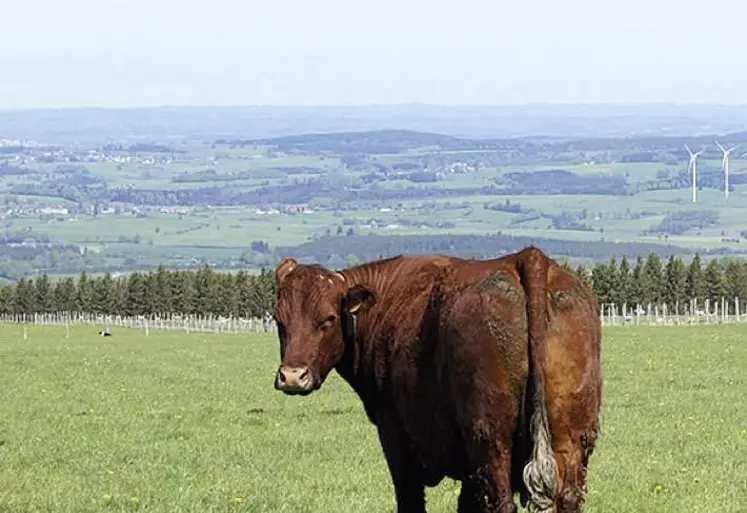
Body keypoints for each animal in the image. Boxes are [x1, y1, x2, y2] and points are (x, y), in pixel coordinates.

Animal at [274, 246, 600, 510]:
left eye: (328, 319)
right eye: (279, 320)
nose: (292, 376)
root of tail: (527, 257)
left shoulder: (394, 437)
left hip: (490, 439)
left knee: (502, 501)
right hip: (572, 438)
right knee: (567, 498)